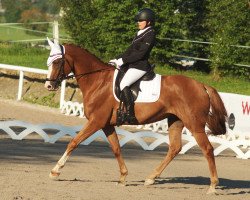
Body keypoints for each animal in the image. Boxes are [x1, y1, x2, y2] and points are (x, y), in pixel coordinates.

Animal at [44, 39, 227, 194]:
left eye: (57, 62)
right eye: (49, 62)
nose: (49, 85)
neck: (98, 81)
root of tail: (202, 86)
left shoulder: (96, 122)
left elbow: (74, 142)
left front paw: (55, 171)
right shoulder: (106, 124)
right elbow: (116, 148)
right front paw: (123, 177)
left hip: (194, 125)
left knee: (207, 149)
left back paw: (212, 186)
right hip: (176, 121)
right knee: (175, 148)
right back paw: (151, 178)